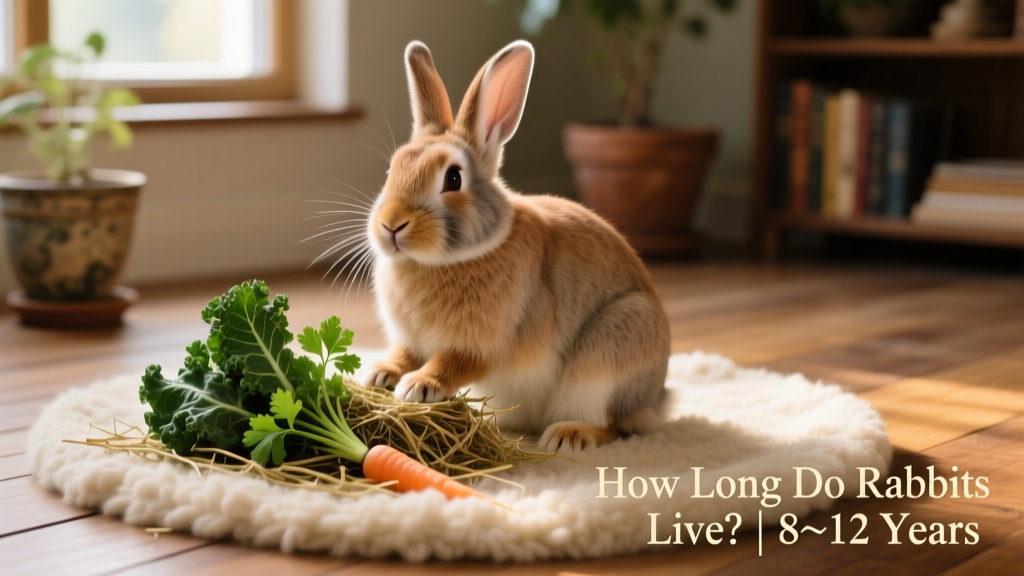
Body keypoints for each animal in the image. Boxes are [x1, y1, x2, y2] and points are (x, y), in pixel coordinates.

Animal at [362, 39, 671, 453]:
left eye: (453, 178)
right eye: (390, 171)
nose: (391, 224)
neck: (438, 261)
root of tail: (656, 398)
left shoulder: (488, 342)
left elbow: (455, 362)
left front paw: (419, 386)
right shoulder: (410, 339)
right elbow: (403, 353)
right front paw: (380, 374)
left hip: (613, 351)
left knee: (617, 426)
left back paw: (568, 436)